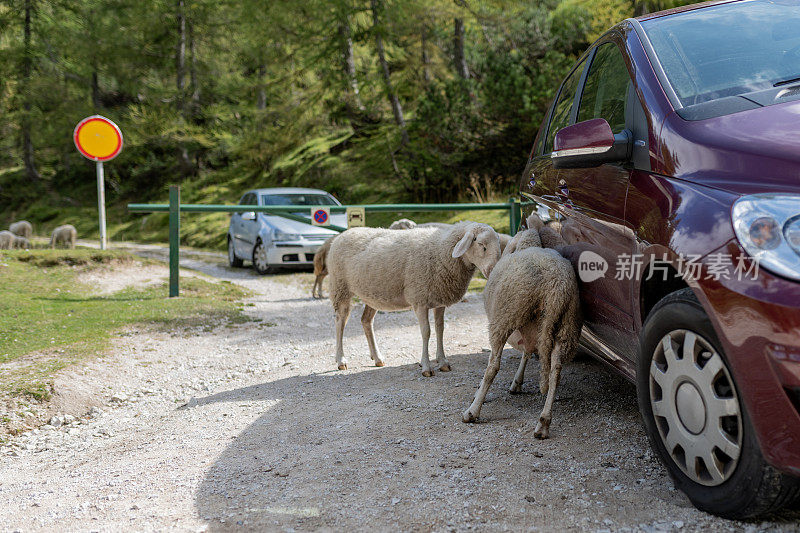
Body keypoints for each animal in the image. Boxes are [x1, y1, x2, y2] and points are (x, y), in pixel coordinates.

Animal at [324, 220, 500, 374]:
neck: (440, 251)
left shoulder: (439, 300)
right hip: (341, 288)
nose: (493, 270)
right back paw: (341, 360)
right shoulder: (419, 300)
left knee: (366, 321)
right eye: (482, 245)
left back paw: (377, 358)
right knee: (340, 322)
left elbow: (440, 329)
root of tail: (342, 235)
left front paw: (443, 362)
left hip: (371, 295)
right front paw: (426, 367)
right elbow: (426, 332)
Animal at [462, 243, 580, 438]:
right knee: (555, 370)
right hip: (565, 326)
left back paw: (472, 411)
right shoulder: (531, 332)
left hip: (506, 315)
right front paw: (517, 382)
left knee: (493, 366)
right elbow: (527, 352)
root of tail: (556, 285)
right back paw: (543, 422)